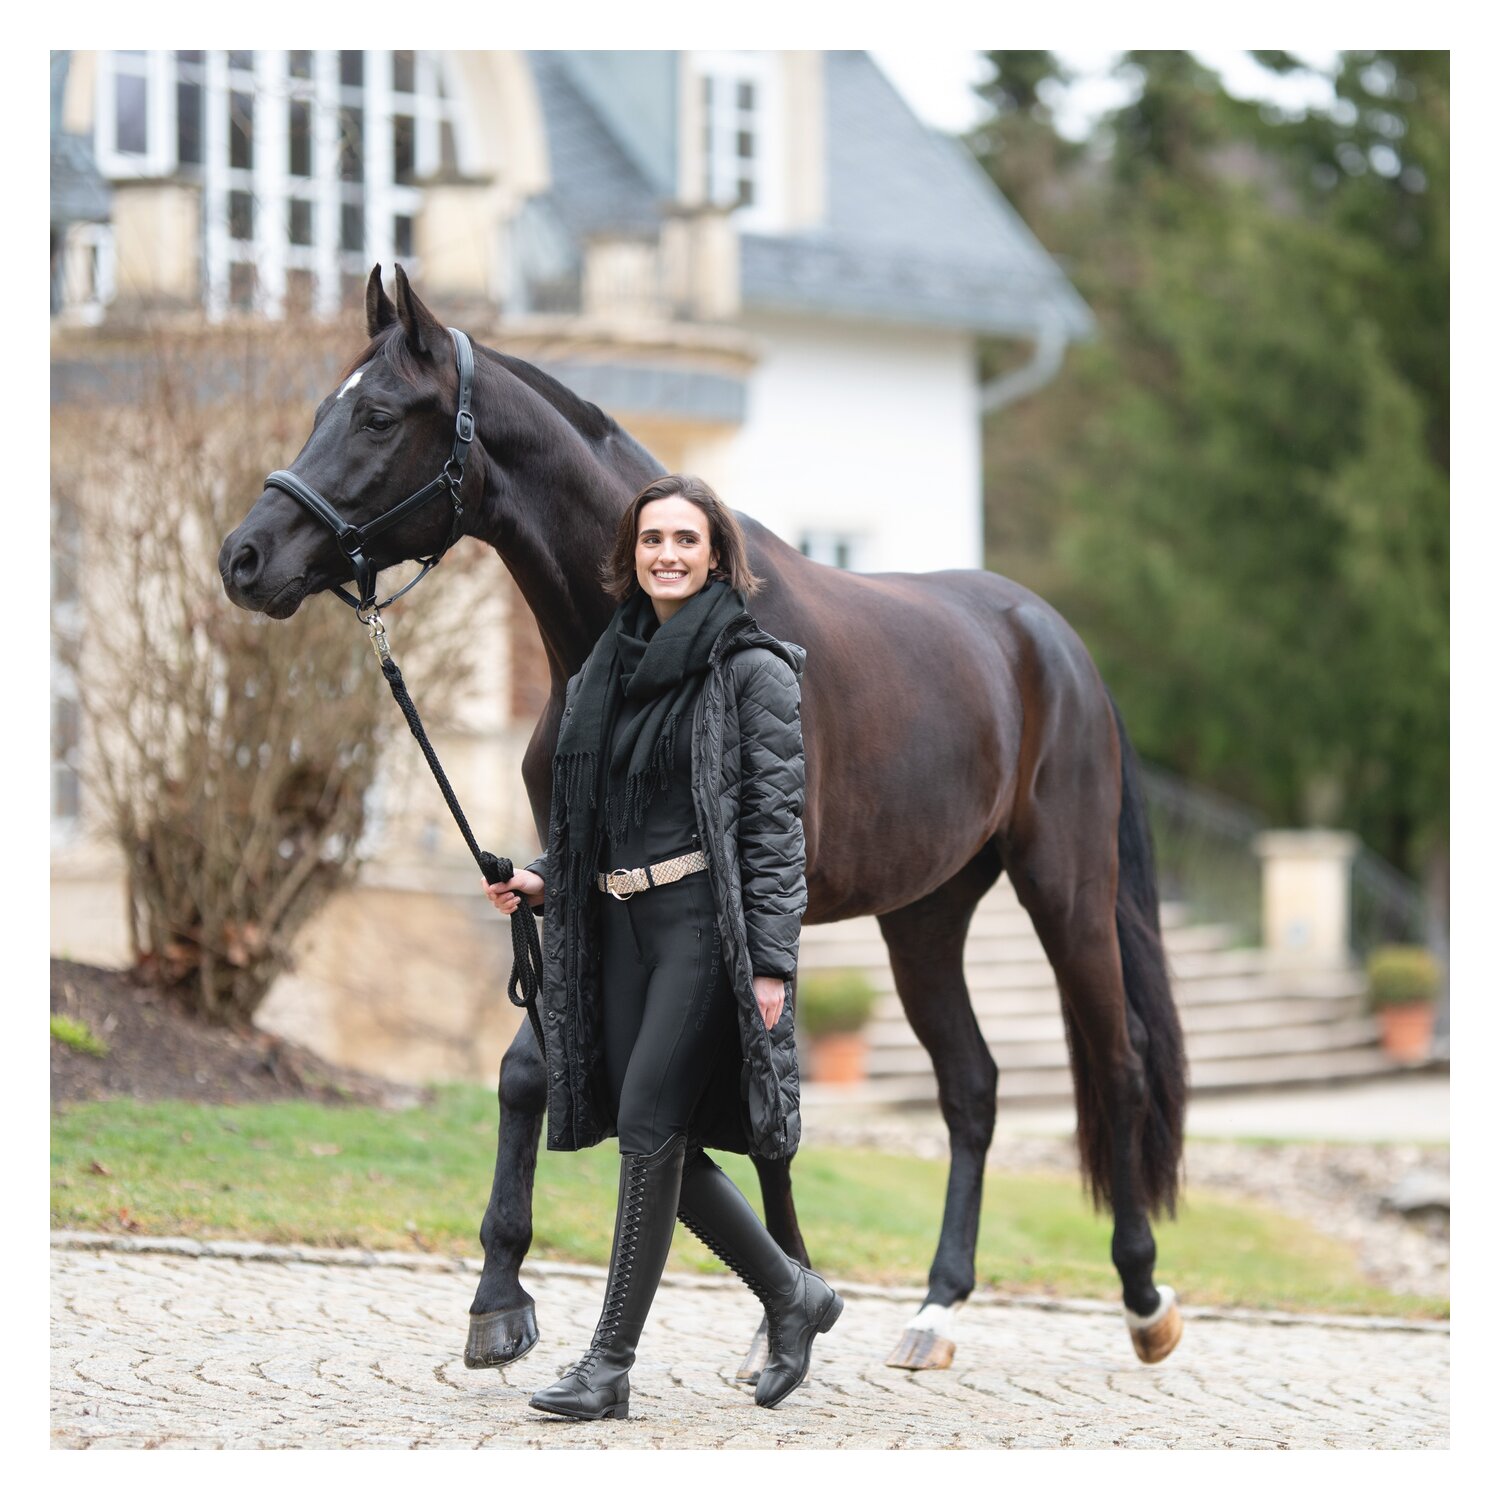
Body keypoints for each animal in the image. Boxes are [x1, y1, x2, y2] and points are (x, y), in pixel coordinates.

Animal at [219, 265, 1188, 1376]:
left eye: (378, 415)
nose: (244, 558)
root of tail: (1055, 644)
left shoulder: (762, 906)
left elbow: (760, 1104)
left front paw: (786, 1313)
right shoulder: (573, 889)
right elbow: (527, 1071)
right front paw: (502, 1299)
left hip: (1066, 890)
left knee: (1117, 1066)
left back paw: (1144, 1299)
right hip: (926, 916)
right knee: (972, 1087)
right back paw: (937, 1309)